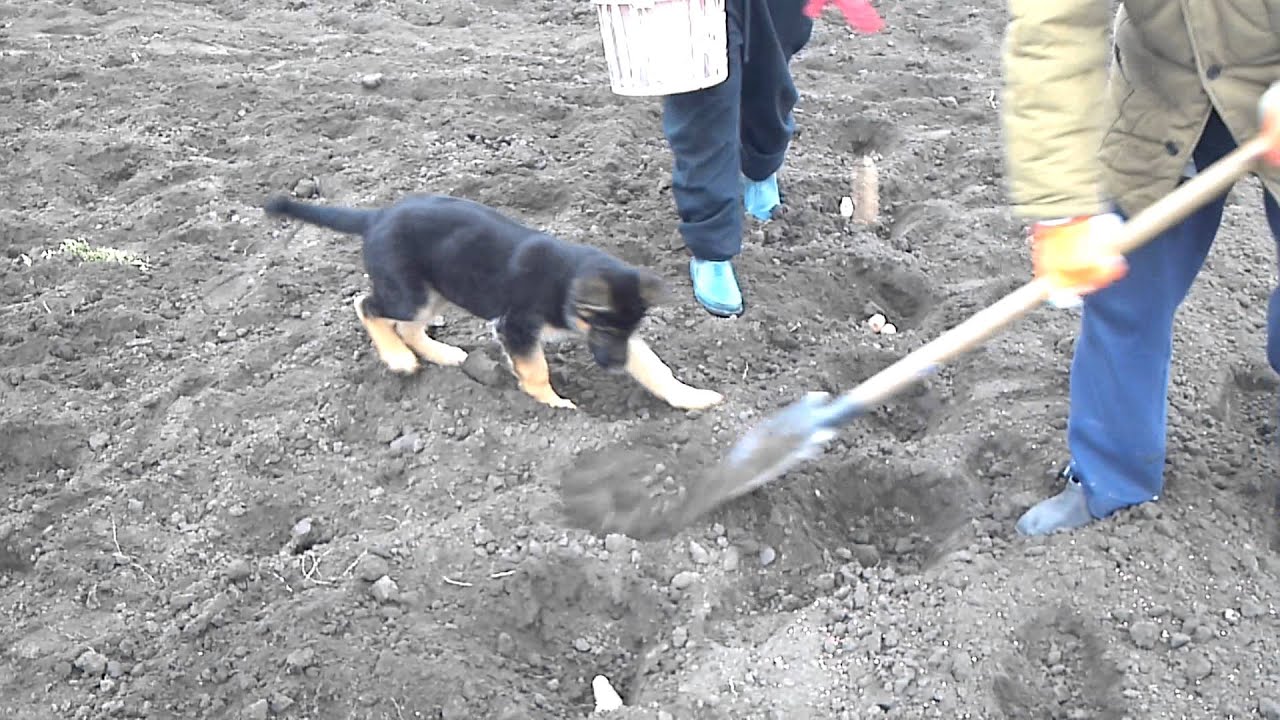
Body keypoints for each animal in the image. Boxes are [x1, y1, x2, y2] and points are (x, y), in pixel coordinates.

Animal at [262, 192, 721, 409]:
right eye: (604, 326)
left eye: (628, 329)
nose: (614, 365)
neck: (567, 282)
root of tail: (376, 217)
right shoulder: (516, 326)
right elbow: (535, 369)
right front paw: (553, 404)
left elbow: (656, 369)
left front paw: (691, 398)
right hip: (409, 292)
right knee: (367, 306)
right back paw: (398, 359)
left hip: (436, 290)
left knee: (408, 326)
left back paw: (443, 354)